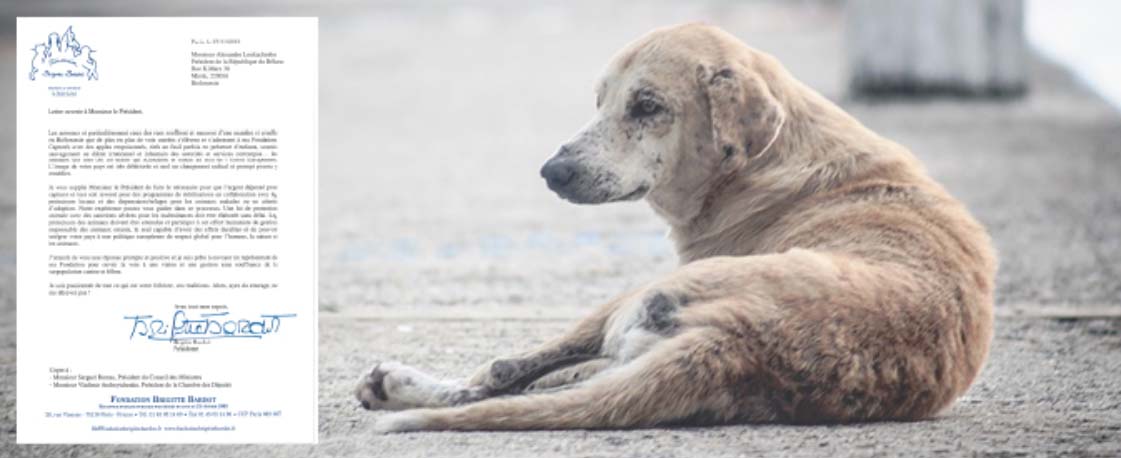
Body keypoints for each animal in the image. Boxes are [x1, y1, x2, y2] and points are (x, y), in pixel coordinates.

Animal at [354, 23, 995, 432]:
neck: (770, 158)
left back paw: (399, 387)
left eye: (647, 106)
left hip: (635, 296)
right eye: (601, 100)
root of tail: (736, 343)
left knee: (499, 377)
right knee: (555, 383)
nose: (551, 172)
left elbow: (506, 369)